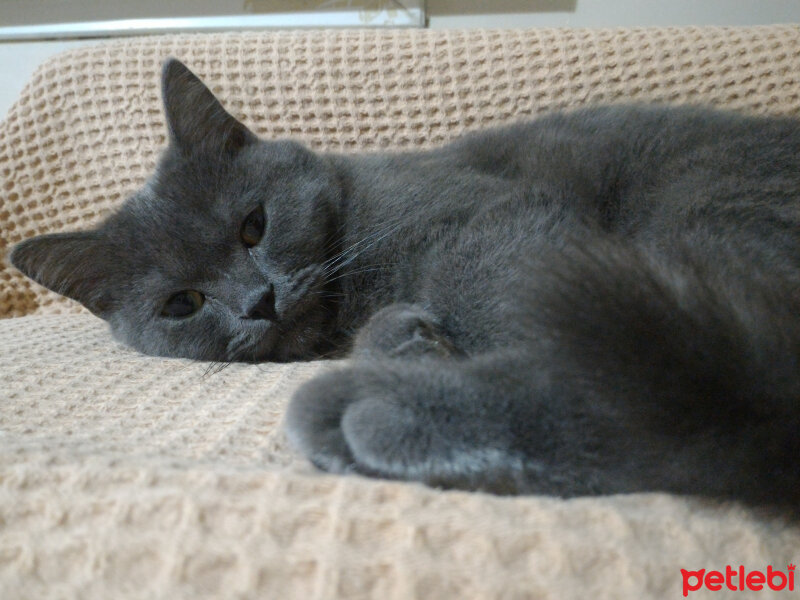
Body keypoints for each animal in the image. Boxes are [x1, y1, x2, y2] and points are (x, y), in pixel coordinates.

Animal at [9, 59, 800, 506]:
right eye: (184, 303)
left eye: (253, 227)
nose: (259, 301)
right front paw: (407, 337)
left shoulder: (485, 216)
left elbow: (505, 288)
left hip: (703, 206)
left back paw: (372, 411)